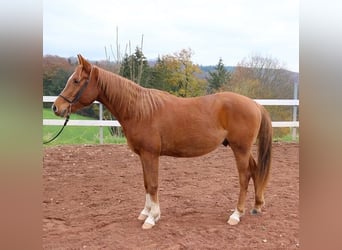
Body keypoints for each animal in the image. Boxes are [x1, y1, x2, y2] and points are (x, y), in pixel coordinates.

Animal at [52, 55, 272, 230]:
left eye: (76, 81)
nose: (56, 107)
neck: (139, 110)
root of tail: (254, 104)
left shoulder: (151, 154)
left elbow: (153, 184)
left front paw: (152, 218)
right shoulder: (143, 155)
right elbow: (146, 183)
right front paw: (145, 212)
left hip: (240, 149)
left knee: (244, 177)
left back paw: (236, 214)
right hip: (242, 149)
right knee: (255, 171)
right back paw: (256, 206)